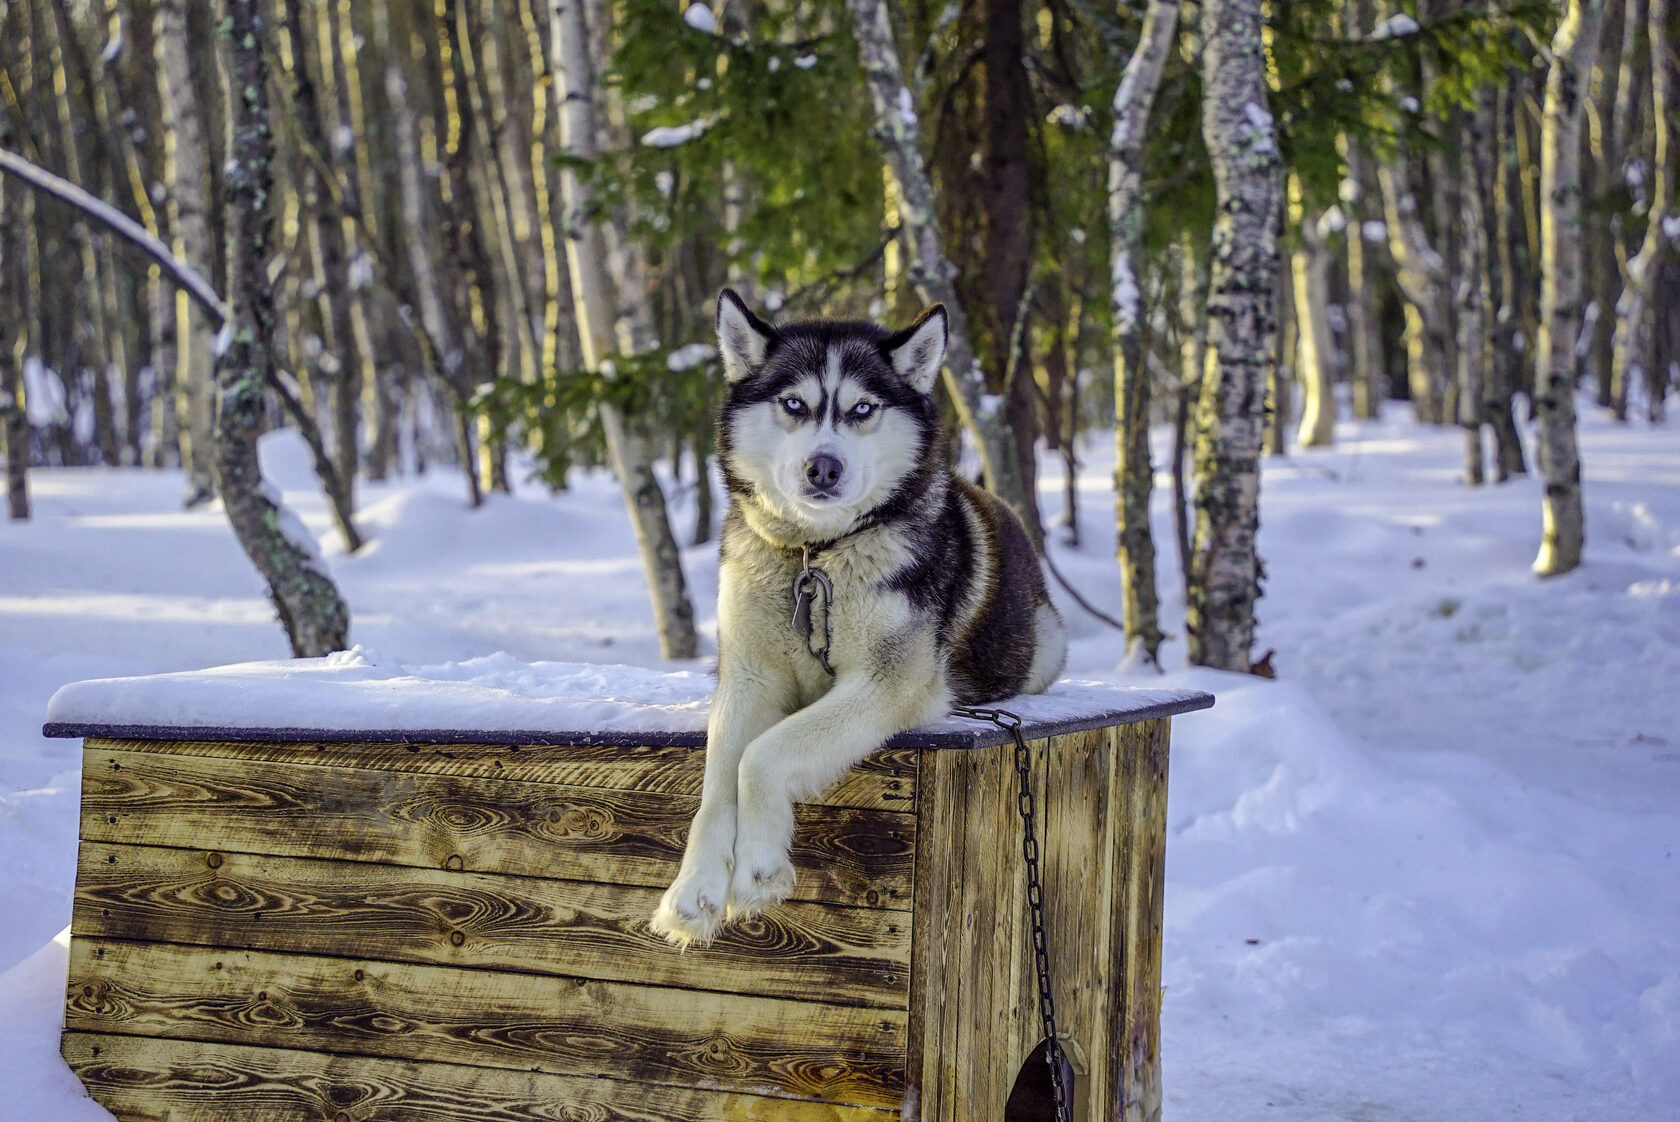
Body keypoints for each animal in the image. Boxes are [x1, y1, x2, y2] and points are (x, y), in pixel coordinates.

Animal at [648, 292, 1068, 947]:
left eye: (862, 408)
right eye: (794, 404)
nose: (824, 467)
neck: (815, 555)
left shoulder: (889, 682)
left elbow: (759, 757)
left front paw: (759, 870)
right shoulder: (747, 678)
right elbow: (716, 784)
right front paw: (693, 892)